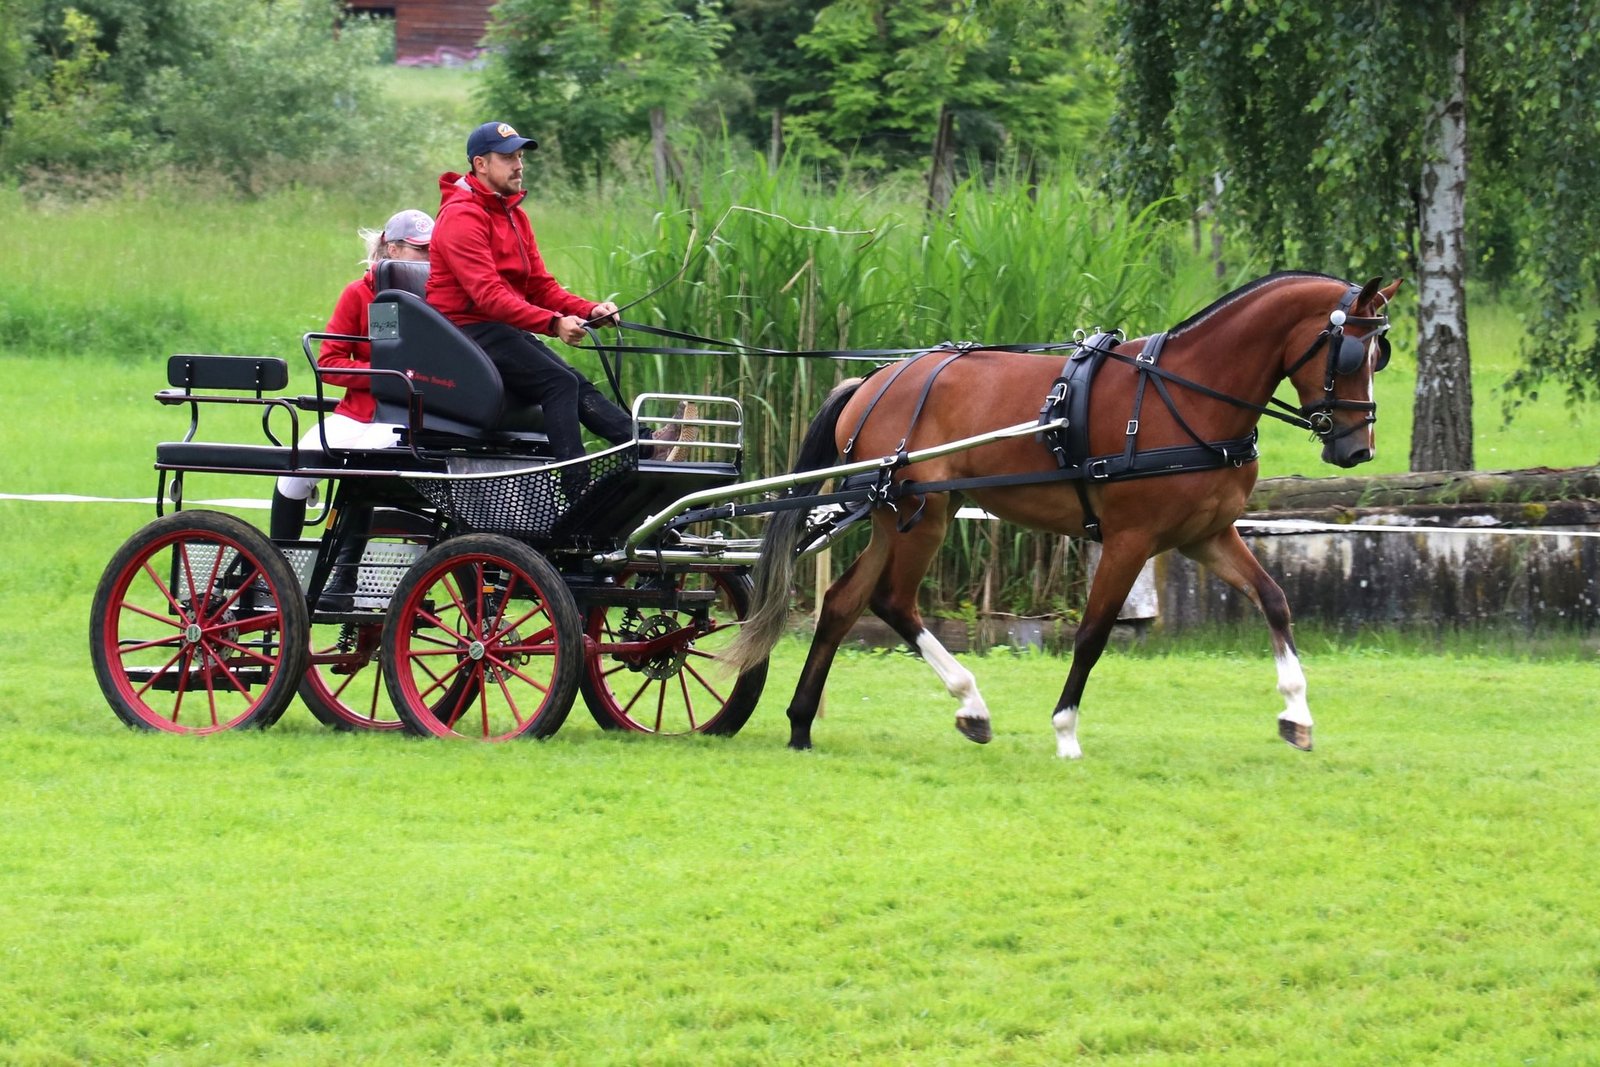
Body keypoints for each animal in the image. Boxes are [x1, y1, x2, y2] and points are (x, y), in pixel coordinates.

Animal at [720, 271, 1402, 758]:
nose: (1356, 448)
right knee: (892, 601)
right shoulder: (1130, 540)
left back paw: (801, 725)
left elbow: (1275, 601)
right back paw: (970, 703)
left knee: (842, 602)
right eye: (1349, 355)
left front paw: (1296, 713)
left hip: (897, 514)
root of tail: (872, 381)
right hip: (924, 514)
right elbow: (1094, 632)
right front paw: (1066, 730)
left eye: (1381, 355)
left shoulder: (1206, 536)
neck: (1184, 395)